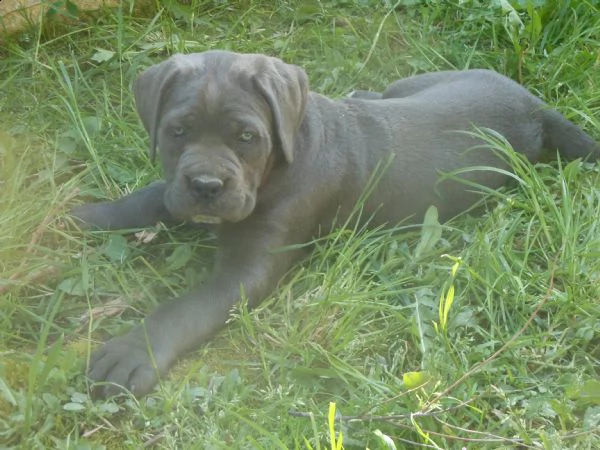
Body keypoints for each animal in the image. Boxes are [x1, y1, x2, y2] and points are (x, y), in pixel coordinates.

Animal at [71, 50, 600, 398]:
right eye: (176, 131)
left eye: (247, 137)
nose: (205, 185)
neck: (286, 155)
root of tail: (537, 107)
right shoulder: (174, 190)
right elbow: (150, 198)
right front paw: (89, 215)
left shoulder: (249, 270)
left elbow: (186, 308)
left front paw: (134, 351)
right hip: (412, 85)